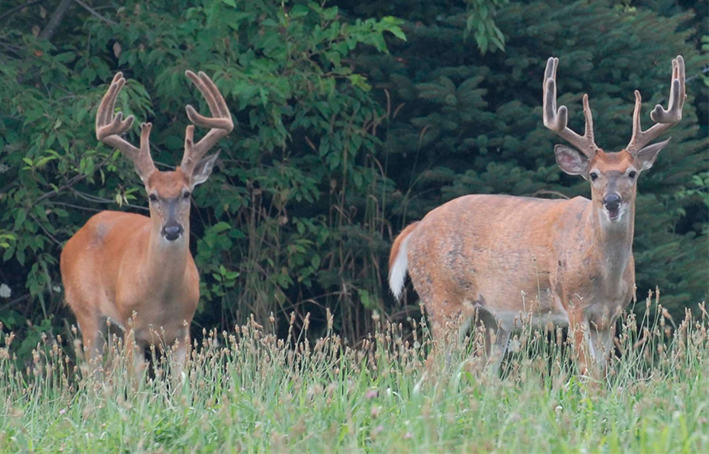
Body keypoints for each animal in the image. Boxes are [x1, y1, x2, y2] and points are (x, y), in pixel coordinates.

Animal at [60, 70, 233, 377]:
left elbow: (181, 385)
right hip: (87, 311)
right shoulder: (132, 327)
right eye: (152, 196)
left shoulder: (183, 331)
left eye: (187, 193)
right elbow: (137, 383)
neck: (160, 300)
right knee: (93, 376)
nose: (172, 229)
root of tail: (71, 242)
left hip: (113, 329)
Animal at [389, 55, 685, 376]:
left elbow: (601, 372)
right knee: (432, 369)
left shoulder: (609, 316)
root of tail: (416, 228)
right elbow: (587, 372)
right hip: (444, 298)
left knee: (480, 373)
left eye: (632, 173)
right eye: (594, 175)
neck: (606, 276)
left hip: (493, 317)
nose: (611, 202)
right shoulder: (574, 303)